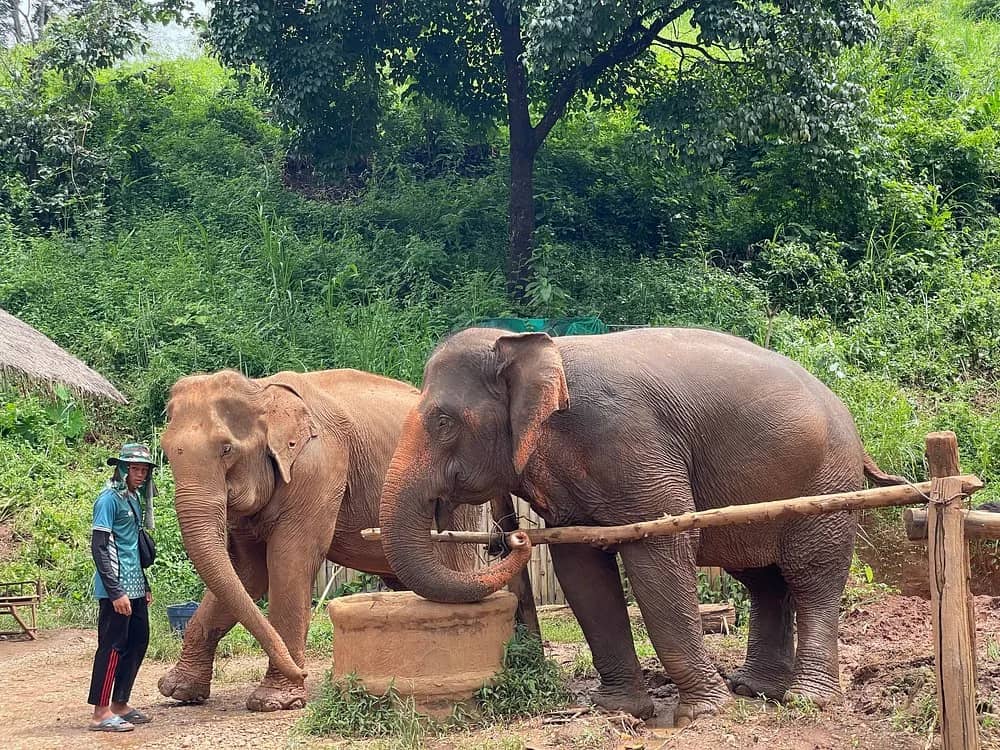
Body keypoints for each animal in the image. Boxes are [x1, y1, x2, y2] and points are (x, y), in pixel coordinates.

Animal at [157, 368, 480, 711]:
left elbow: (290, 560)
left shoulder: (318, 468)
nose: (304, 672)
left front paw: (274, 701)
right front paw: (179, 691)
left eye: (226, 449)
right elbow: (247, 573)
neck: (261, 391)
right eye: (166, 451)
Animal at [378, 327, 904, 726]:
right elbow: (580, 569)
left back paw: (804, 699)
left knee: (810, 577)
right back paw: (754, 689)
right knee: (764, 579)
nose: (511, 535)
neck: (542, 350)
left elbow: (661, 548)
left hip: (826, 485)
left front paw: (700, 714)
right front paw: (619, 710)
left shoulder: (633, 444)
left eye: (443, 422)